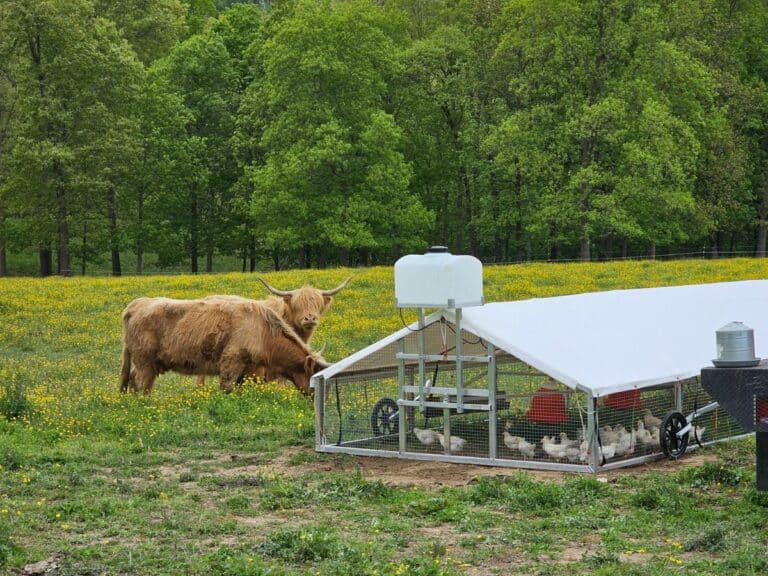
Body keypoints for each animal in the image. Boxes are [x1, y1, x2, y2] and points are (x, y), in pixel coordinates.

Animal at [118, 296, 328, 396]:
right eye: (315, 377)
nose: (326, 399)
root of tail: (137, 304)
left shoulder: (250, 372)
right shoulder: (231, 364)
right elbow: (227, 388)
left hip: (148, 364)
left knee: (132, 380)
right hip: (144, 363)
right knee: (140, 384)